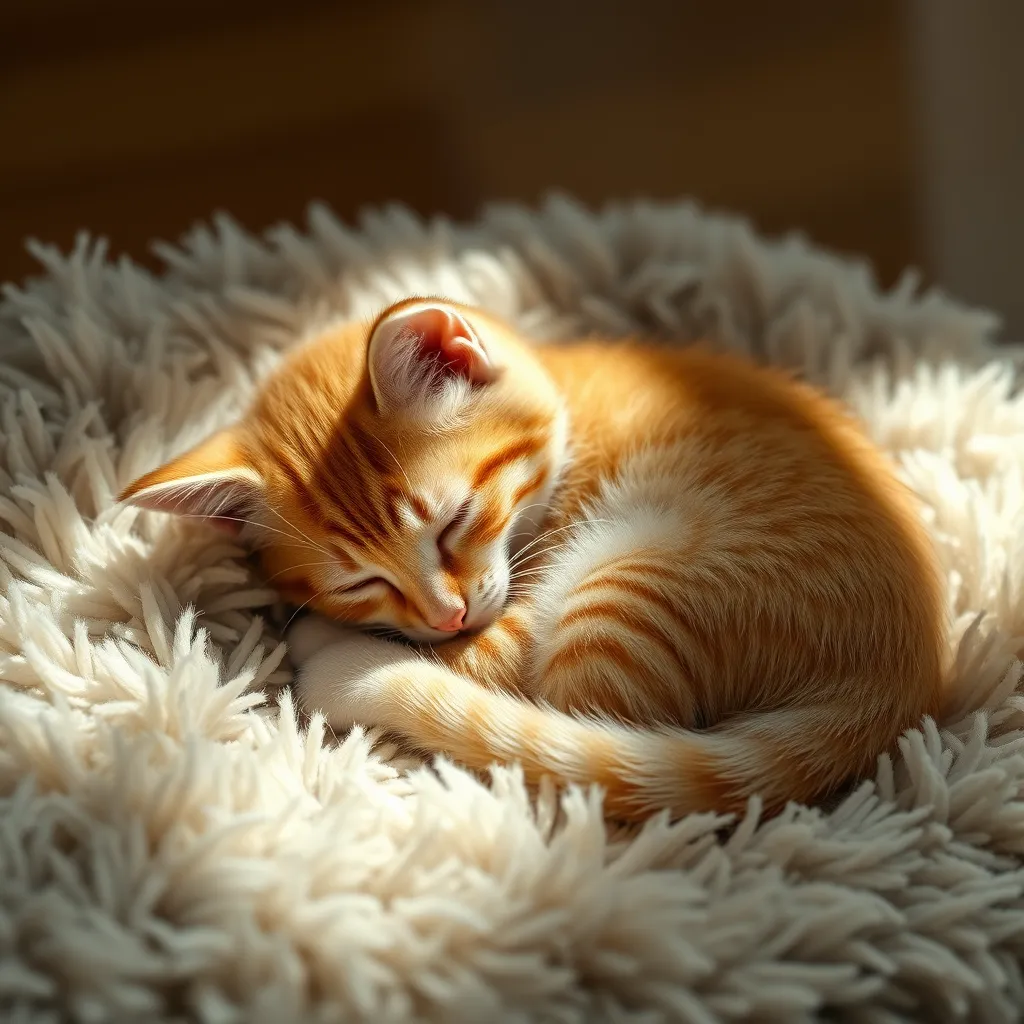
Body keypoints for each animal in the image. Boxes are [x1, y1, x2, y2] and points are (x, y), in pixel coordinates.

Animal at [123, 294, 946, 815]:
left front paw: (334, 648)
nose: (447, 616)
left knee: (572, 731)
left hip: (638, 573)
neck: (569, 407)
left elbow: (491, 668)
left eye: (454, 521)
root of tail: (908, 671)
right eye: (359, 581)